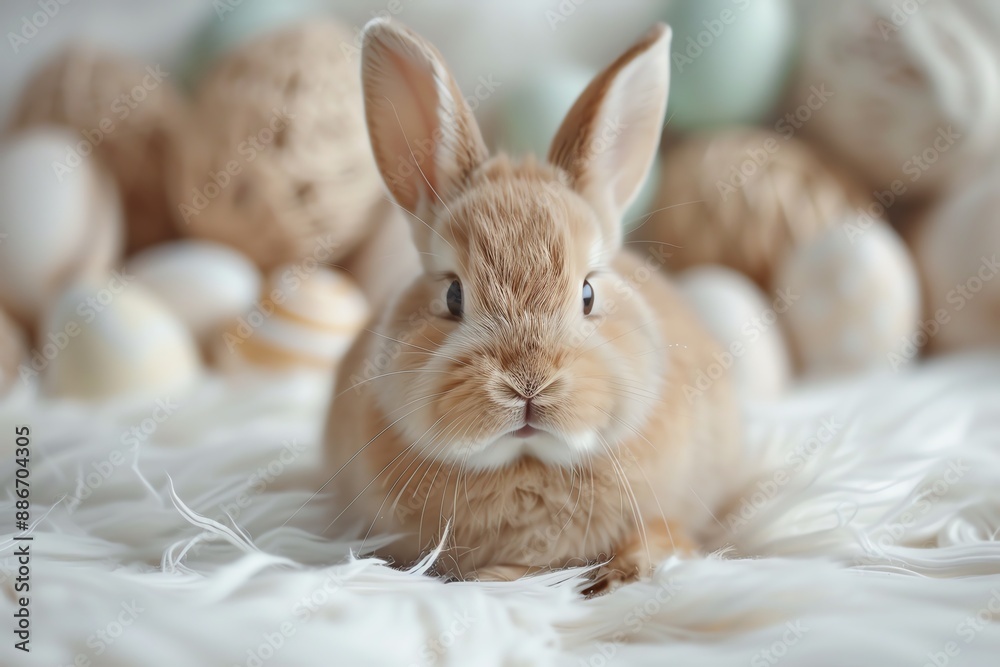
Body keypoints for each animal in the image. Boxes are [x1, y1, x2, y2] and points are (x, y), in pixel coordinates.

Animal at [323, 18, 741, 591]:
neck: (526, 465)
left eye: (588, 294)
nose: (528, 382)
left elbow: (658, 537)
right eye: (452, 295)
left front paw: (628, 570)